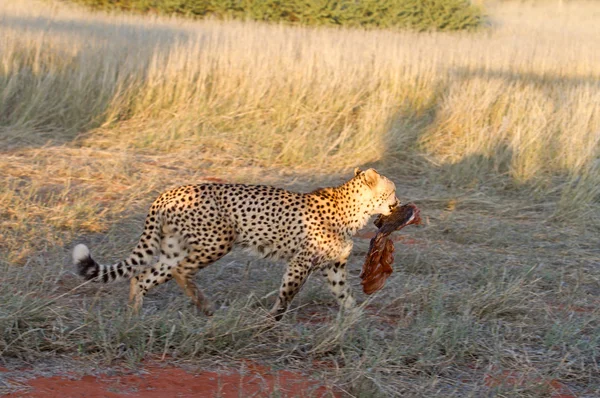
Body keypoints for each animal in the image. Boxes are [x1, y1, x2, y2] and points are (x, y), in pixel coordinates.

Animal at [74, 168, 398, 320]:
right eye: (392, 190)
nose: (397, 203)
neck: (352, 209)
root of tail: (168, 191)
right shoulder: (301, 262)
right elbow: (287, 295)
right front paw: (270, 321)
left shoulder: (333, 267)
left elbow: (345, 296)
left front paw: (354, 320)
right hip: (217, 241)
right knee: (181, 271)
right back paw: (205, 306)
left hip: (174, 249)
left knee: (142, 275)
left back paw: (135, 313)